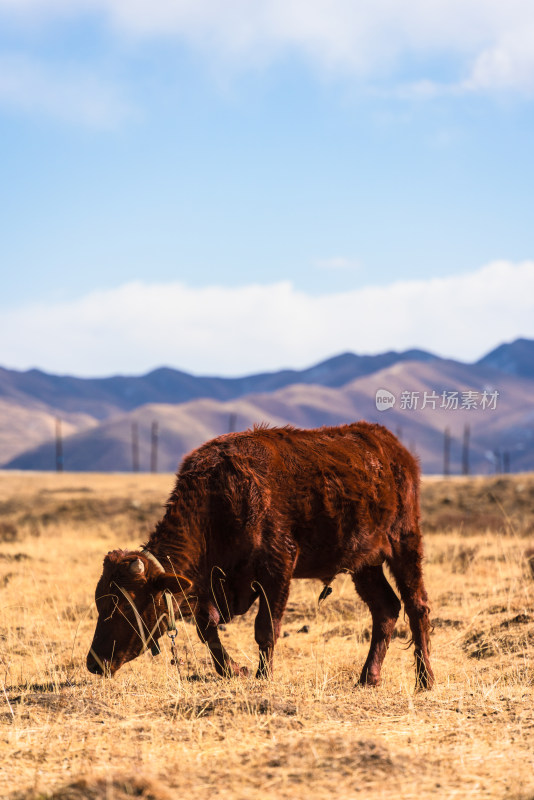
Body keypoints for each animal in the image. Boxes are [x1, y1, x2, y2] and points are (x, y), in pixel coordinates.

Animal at [87, 422, 436, 692]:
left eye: (124, 606)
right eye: (100, 602)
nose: (94, 663)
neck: (218, 500)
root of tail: (391, 448)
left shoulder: (277, 568)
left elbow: (266, 628)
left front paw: (262, 675)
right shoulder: (216, 584)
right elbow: (206, 627)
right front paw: (234, 670)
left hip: (404, 544)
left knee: (416, 606)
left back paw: (424, 680)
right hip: (364, 563)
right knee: (385, 608)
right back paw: (368, 678)